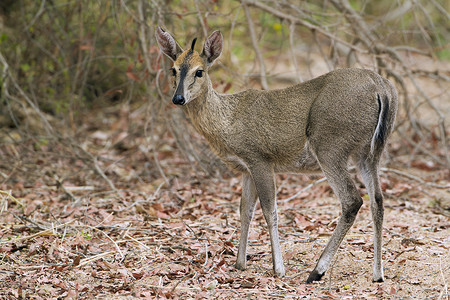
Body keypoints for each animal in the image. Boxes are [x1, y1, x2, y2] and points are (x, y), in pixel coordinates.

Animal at [156, 26, 398, 284]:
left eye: (199, 71)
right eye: (173, 69)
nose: (178, 98)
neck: (228, 122)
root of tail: (382, 88)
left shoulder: (260, 158)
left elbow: (269, 210)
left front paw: (278, 268)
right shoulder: (246, 168)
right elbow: (245, 210)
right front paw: (240, 263)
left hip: (330, 145)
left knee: (352, 200)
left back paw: (317, 271)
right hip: (370, 151)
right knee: (377, 199)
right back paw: (377, 274)